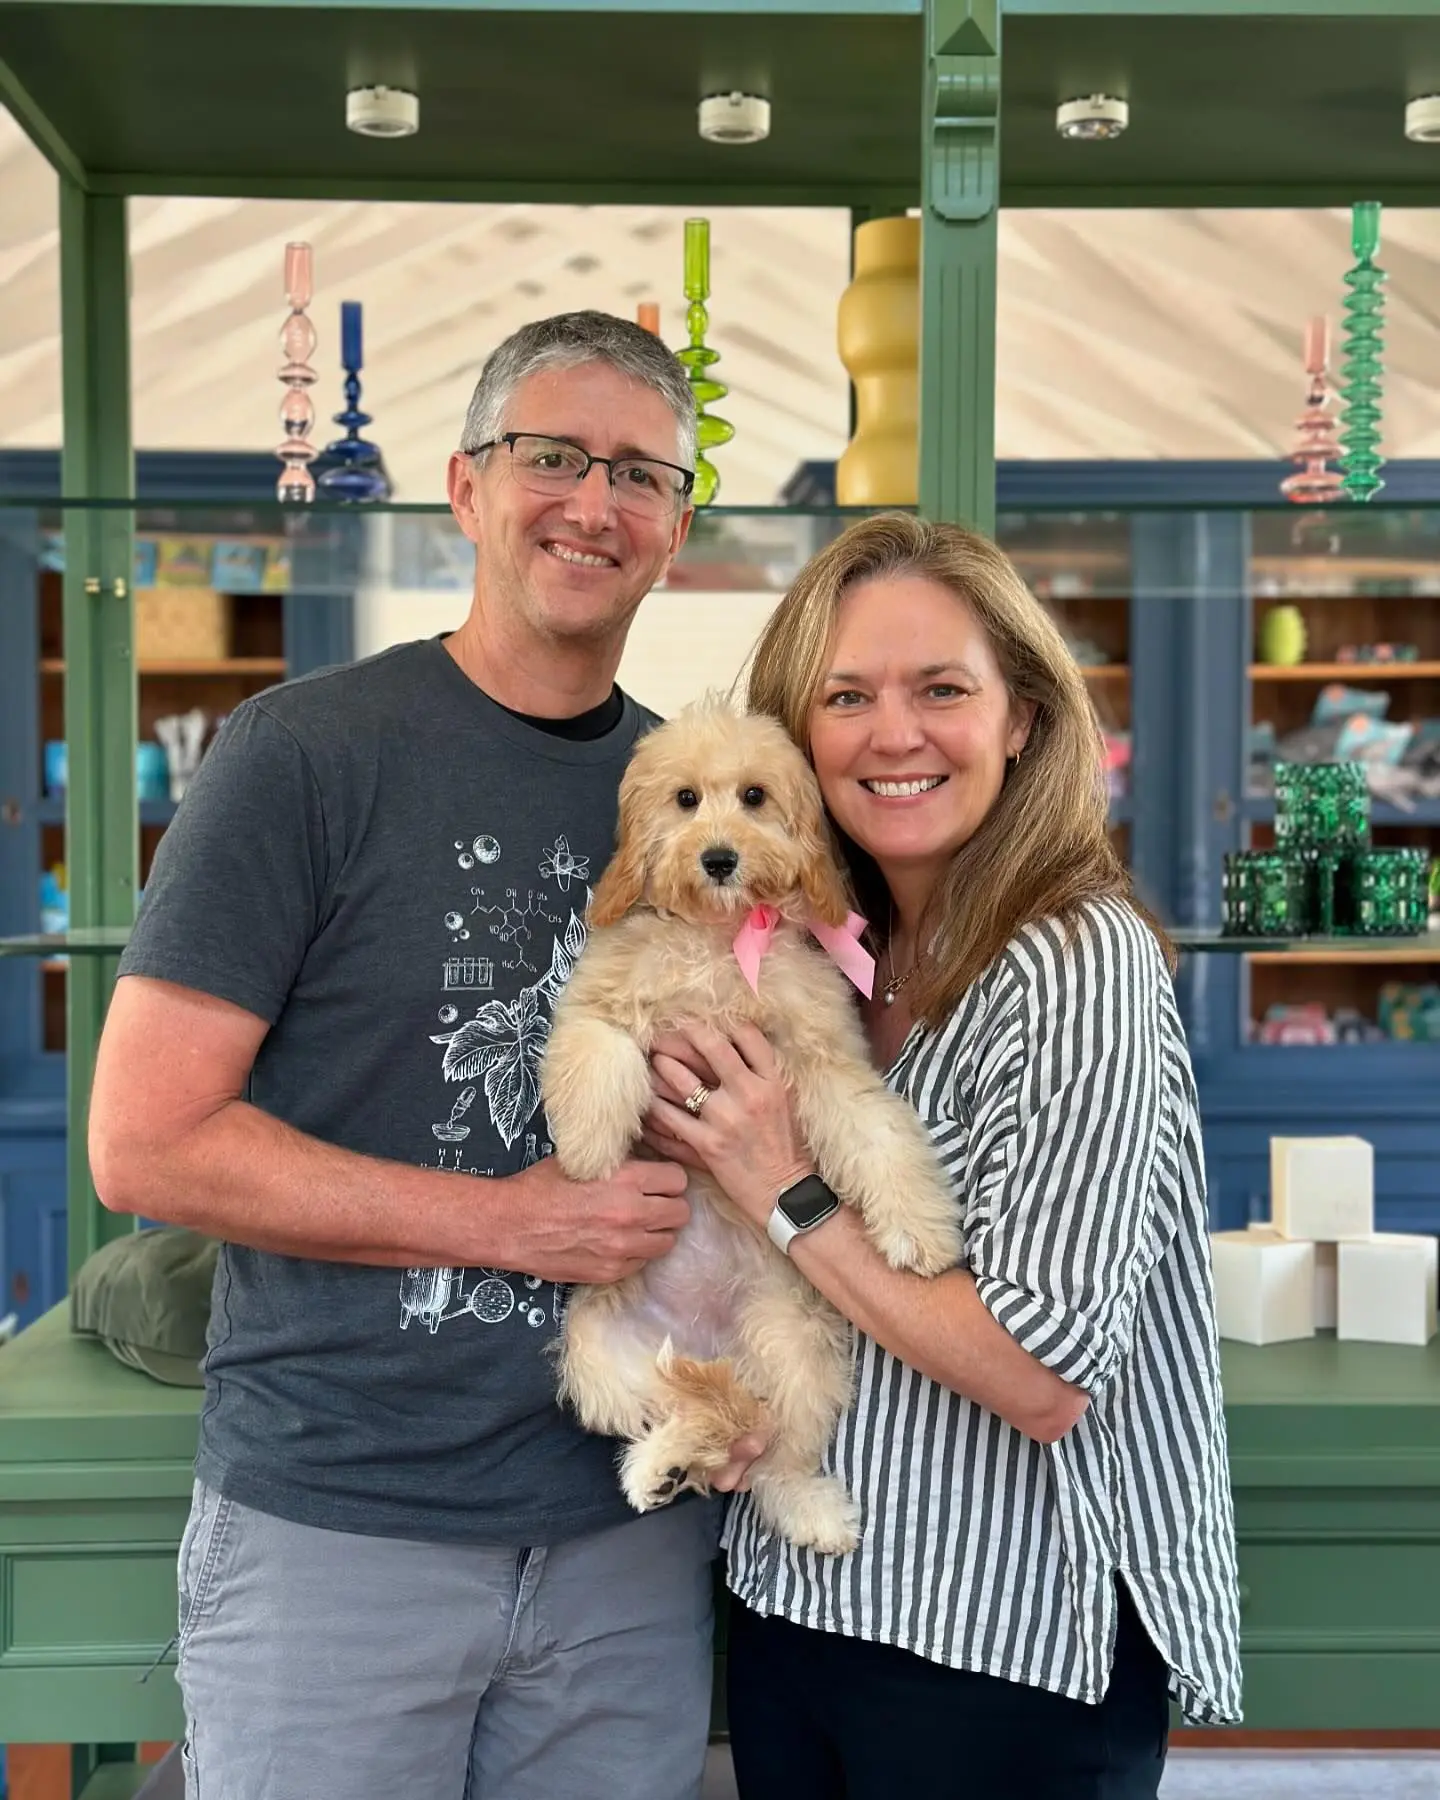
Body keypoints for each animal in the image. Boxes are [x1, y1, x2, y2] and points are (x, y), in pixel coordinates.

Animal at [541, 699, 962, 1554]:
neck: (717, 939)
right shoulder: (603, 995)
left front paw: (920, 1232)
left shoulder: (823, 1054)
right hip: (596, 1357)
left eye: (756, 797)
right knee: (695, 1418)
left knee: (769, 1449)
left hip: (795, 1341)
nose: (720, 859)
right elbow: (595, 1049)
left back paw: (803, 1505)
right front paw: (591, 1147)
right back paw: (661, 1465)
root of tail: (710, 1346)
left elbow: (877, 1134)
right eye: (686, 800)